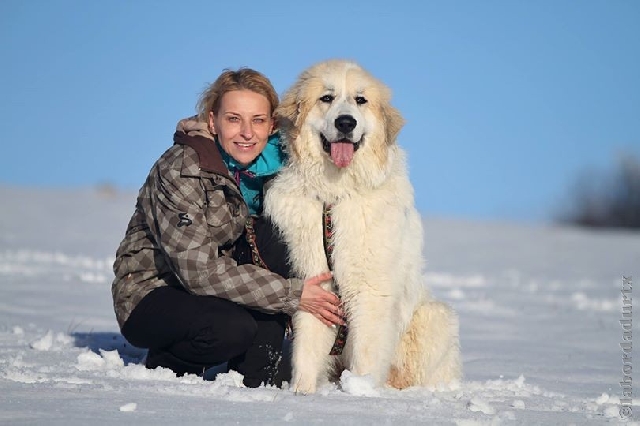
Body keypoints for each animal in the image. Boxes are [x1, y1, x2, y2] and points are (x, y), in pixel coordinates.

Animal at [264, 59, 460, 392]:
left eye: (360, 100)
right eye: (326, 98)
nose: (346, 123)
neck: (337, 194)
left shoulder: (370, 292)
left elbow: (366, 352)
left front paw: (359, 391)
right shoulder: (315, 287)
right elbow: (306, 351)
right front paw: (301, 393)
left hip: (435, 319)